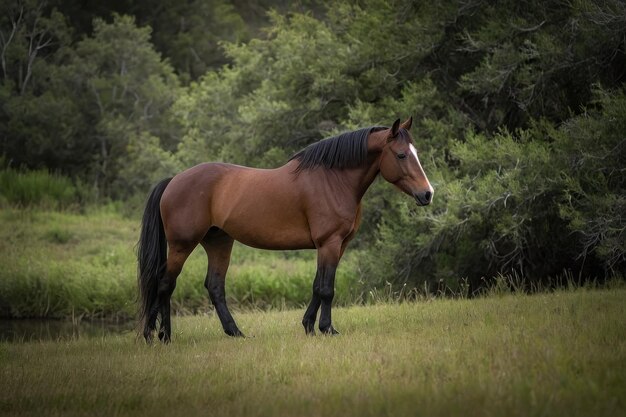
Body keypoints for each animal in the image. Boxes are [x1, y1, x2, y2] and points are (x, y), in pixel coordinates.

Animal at [136, 116, 432, 342]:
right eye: (402, 155)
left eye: (416, 154)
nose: (427, 194)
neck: (333, 179)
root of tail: (174, 180)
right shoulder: (329, 243)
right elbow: (327, 288)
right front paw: (327, 329)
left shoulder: (336, 246)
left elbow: (317, 285)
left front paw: (308, 325)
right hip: (182, 245)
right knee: (165, 283)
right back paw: (161, 336)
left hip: (219, 242)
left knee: (214, 286)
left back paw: (232, 333)